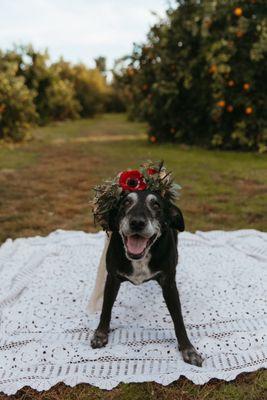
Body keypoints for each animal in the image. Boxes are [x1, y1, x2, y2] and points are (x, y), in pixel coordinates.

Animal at [91, 189, 204, 368]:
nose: (137, 223)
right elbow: (106, 309)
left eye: (156, 205)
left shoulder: (169, 284)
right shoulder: (112, 279)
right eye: (126, 202)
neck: (140, 258)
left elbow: (178, 318)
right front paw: (101, 334)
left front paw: (188, 349)